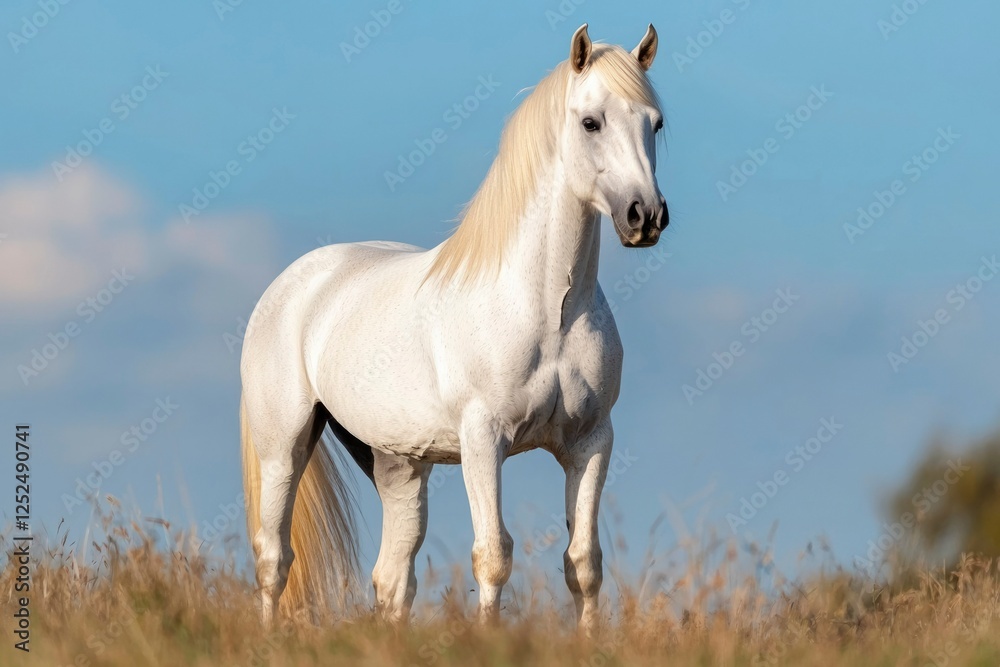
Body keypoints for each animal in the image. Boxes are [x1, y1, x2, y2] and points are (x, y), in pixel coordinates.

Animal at [240, 23, 667, 633]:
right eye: (591, 122)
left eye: (656, 123)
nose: (645, 217)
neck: (549, 315)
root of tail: (290, 286)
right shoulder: (483, 440)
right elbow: (492, 555)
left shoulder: (591, 442)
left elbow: (583, 563)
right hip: (284, 446)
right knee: (274, 558)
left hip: (396, 463)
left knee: (393, 577)